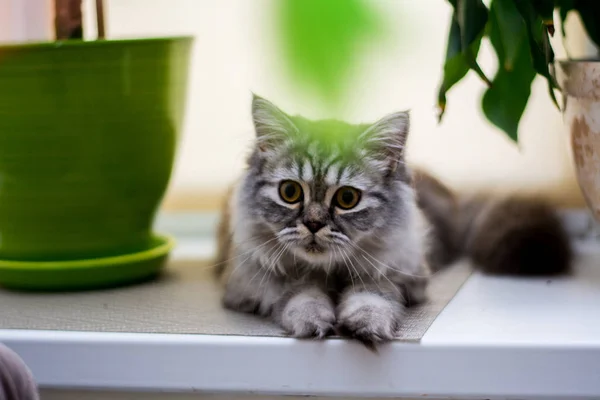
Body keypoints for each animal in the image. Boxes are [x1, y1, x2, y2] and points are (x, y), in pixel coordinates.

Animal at [214, 94, 572, 346]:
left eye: (347, 199)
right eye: (290, 192)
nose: (314, 224)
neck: (330, 270)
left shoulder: (399, 277)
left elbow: (372, 296)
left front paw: (366, 325)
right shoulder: (252, 284)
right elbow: (301, 293)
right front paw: (313, 320)